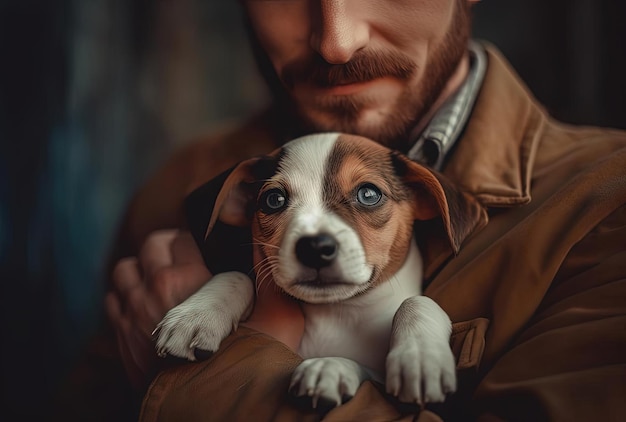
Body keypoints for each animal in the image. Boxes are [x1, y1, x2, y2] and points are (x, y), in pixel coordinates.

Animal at [151, 132, 482, 408]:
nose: (314, 247)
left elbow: (415, 303)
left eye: (369, 194)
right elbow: (236, 276)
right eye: (274, 199)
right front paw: (196, 315)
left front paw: (419, 357)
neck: (340, 313)